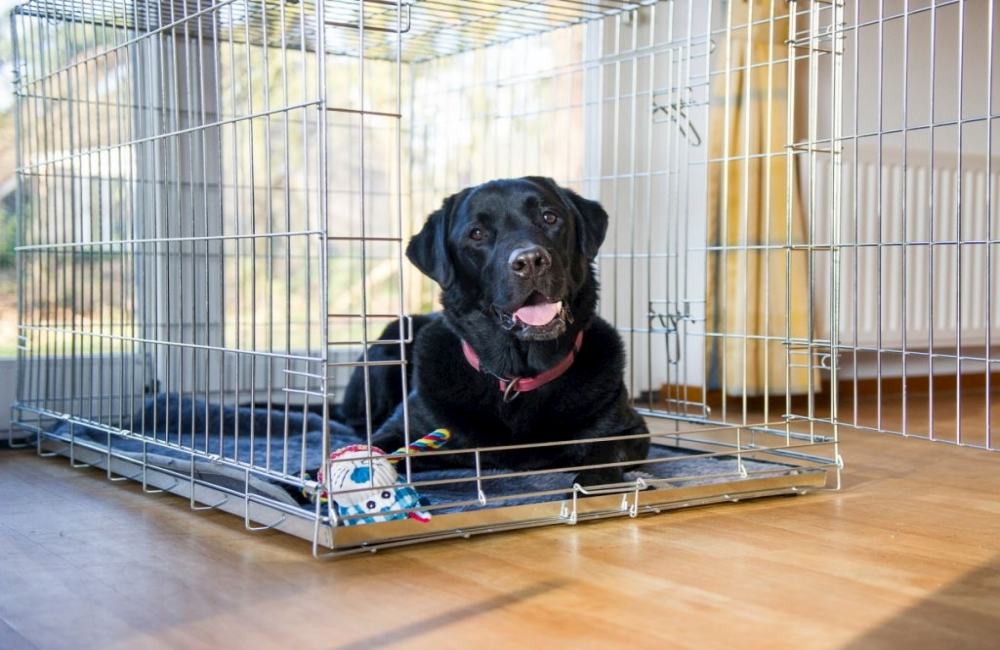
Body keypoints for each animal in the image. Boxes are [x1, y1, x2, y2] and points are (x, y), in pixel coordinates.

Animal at [342, 175, 648, 484]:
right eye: (476, 234)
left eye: (549, 217)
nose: (530, 261)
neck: (517, 376)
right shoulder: (401, 428)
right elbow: (373, 450)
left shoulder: (629, 430)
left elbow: (603, 452)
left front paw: (593, 483)